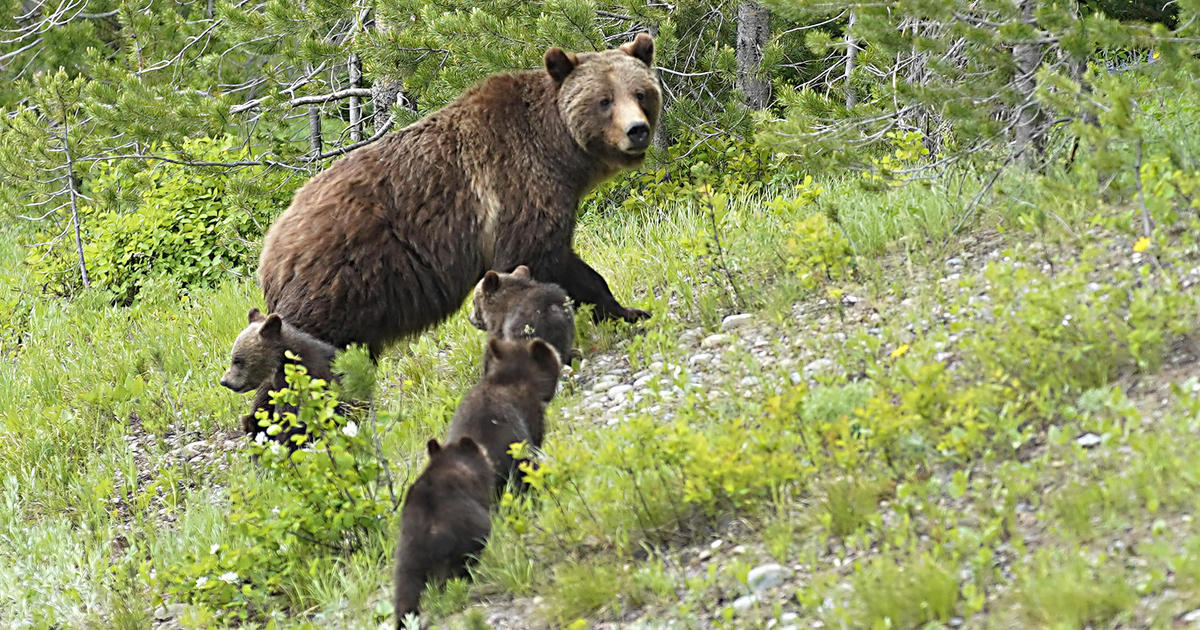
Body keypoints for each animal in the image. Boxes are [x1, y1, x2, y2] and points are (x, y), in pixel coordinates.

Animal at [256, 34, 662, 357]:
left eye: (641, 93)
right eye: (604, 100)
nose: (637, 130)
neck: (559, 150)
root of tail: (270, 248)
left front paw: (630, 311)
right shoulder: (516, 186)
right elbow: (537, 257)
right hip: (341, 279)